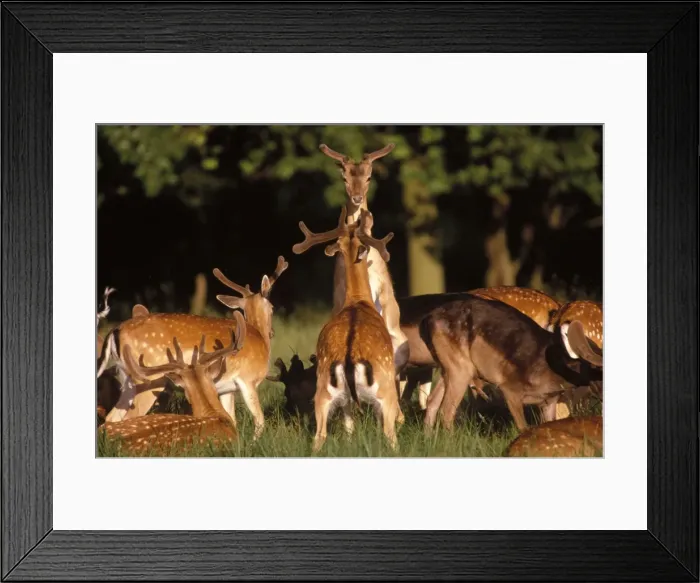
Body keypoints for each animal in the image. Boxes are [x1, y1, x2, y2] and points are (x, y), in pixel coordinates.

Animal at [292, 206, 400, 451]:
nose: (365, 214)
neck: (358, 301)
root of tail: (350, 359)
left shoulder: (346, 400)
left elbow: (349, 428)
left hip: (323, 390)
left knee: (319, 435)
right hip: (386, 388)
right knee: (390, 434)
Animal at [418, 294, 600, 433]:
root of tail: (426, 320)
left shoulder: (549, 401)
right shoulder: (510, 387)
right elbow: (523, 427)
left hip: (448, 366)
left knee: (432, 401)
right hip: (461, 369)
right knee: (447, 410)